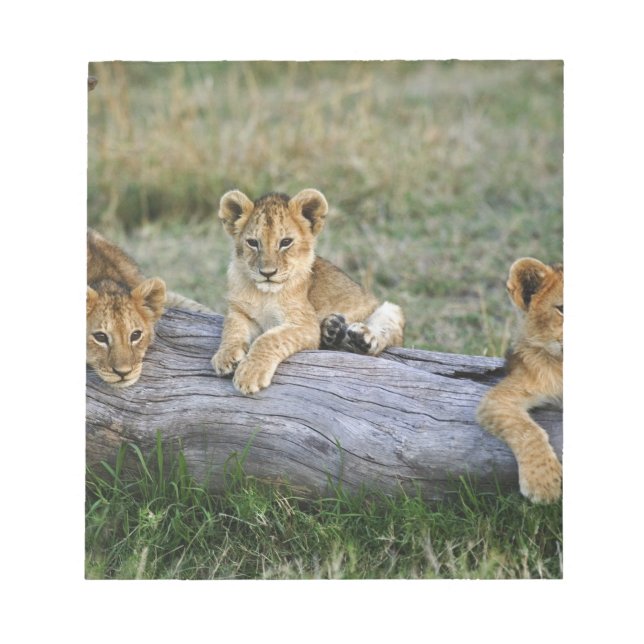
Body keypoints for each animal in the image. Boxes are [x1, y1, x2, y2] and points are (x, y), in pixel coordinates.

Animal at [211, 189, 405, 395]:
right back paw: (333, 329)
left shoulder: (305, 324)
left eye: (285, 242)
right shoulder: (239, 311)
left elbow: (269, 339)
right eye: (253, 243)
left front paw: (250, 373)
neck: (264, 294)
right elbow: (231, 328)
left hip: (389, 309)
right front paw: (225, 356)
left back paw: (360, 337)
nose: (267, 273)